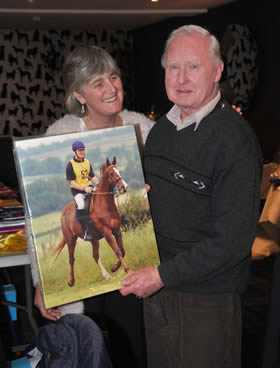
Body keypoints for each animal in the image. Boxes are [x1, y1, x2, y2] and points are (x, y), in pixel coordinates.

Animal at [53, 157, 129, 286]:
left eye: (119, 171)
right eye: (111, 173)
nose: (124, 187)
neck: (106, 207)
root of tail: (64, 212)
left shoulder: (117, 230)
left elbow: (122, 250)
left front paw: (114, 267)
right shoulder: (107, 232)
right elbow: (117, 251)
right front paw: (127, 269)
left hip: (93, 239)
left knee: (95, 256)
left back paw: (107, 276)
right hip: (70, 239)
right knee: (71, 259)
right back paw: (71, 281)